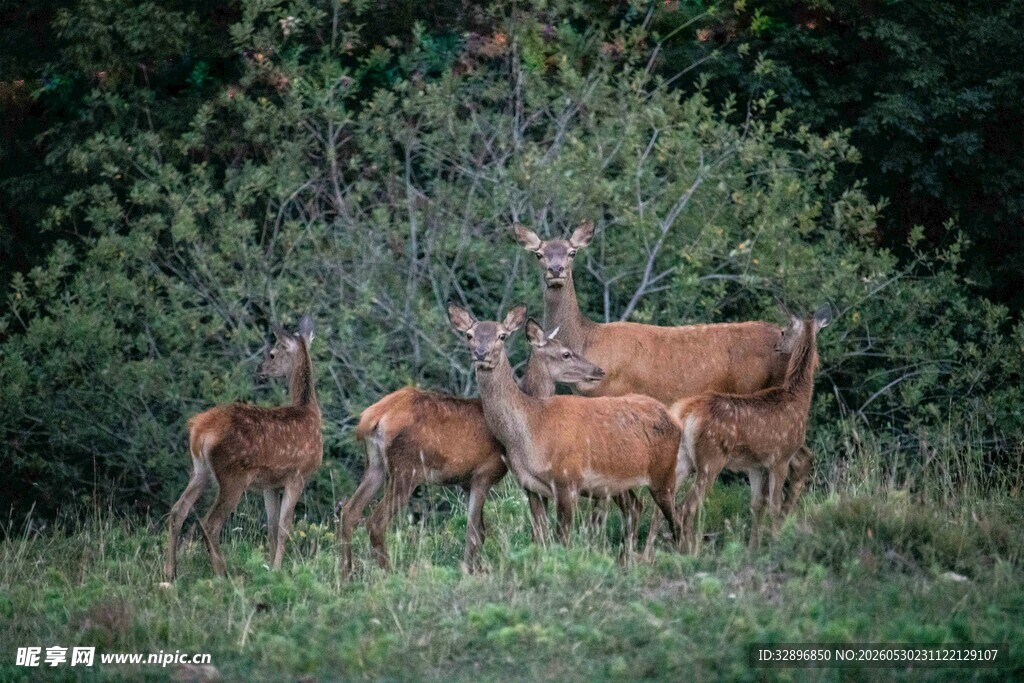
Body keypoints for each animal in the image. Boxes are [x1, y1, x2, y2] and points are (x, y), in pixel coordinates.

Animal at [164, 315, 322, 580]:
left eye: (271, 354)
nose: (260, 369)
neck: (309, 412)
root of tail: (199, 430)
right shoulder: (298, 474)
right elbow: (284, 527)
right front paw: (278, 569)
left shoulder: (271, 483)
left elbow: (271, 527)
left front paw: (270, 568)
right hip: (233, 475)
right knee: (210, 522)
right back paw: (222, 573)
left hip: (200, 471)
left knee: (178, 511)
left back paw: (170, 572)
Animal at [338, 325, 613, 577]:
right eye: (566, 353)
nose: (598, 371)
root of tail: (372, 418)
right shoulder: (485, 472)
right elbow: (475, 532)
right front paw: (471, 573)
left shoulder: (465, 481)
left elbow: (479, 530)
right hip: (407, 469)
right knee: (376, 521)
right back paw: (389, 573)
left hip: (376, 465)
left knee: (349, 511)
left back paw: (347, 574)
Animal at [448, 304, 684, 554]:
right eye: (469, 335)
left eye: (502, 335)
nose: (481, 354)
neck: (532, 426)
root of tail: (673, 418)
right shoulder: (531, 488)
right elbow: (540, 538)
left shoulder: (567, 480)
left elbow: (563, 540)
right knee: (637, 509)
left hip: (664, 473)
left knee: (677, 519)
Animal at [514, 221, 816, 532]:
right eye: (539, 254)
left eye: (572, 252)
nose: (556, 270)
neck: (589, 340)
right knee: (801, 460)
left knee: (797, 459)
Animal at [668, 304, 832, 551]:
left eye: (784, 331)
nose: (777, 346)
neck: (798, 399)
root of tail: (685, 414)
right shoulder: (780, 457)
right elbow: (774, 504)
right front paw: (775, 543)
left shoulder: (755, 465)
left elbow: (756, 505)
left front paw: (753, 547)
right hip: (710, 460)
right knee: (686, 506)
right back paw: (691, 551)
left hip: (684, 458)